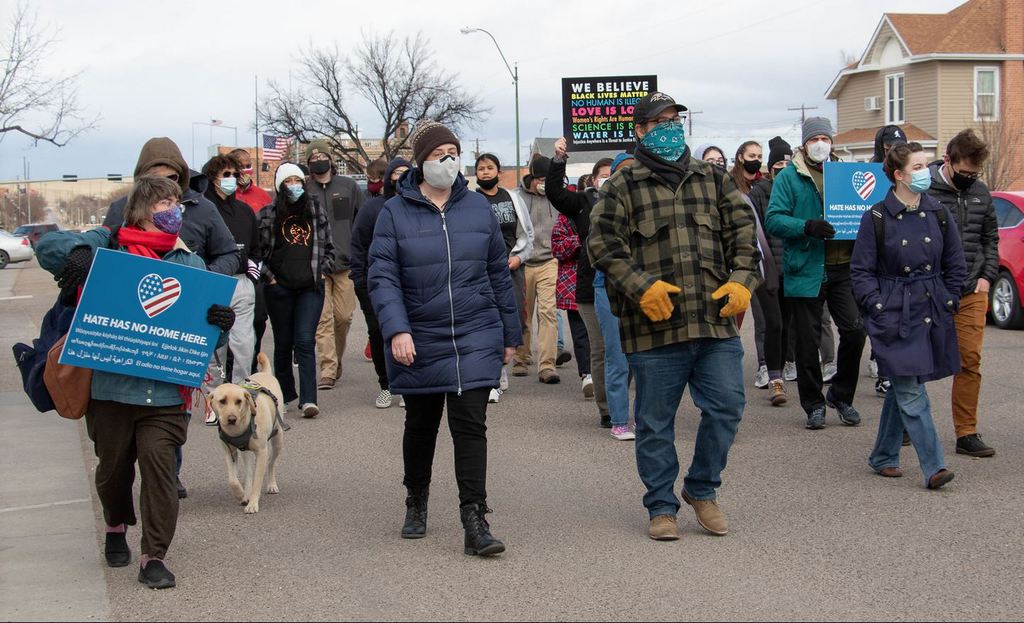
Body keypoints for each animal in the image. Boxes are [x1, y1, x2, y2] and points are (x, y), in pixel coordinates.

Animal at [208, 352, 286, 514]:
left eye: (239, 401)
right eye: (222, 401)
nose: (232, 419)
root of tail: (265, 373)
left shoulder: (262, 452)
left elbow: (257, 480)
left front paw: (253, 504)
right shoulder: (229, 452)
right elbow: (233, 480)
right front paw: (240, 494)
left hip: (278, 440)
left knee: (271, 463)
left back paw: (271, 484)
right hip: (245, 452)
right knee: (249, 473)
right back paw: (246, 493)